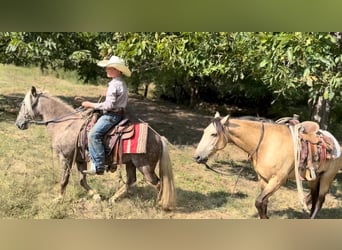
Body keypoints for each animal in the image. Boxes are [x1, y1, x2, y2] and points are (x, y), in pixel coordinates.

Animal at [15, 87, 176, 210]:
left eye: (23, 104)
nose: (19, 124)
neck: (65, 125)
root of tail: (159, 138)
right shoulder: (80, 160)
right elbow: (82, 180)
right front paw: (96, 196)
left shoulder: (65, 158)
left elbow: (64, 180)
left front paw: (59, 199)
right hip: (131, 163)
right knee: (131, 180)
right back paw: (113, 199)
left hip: (145, 166)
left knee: (158, 183)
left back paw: (160, 204)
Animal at [194, 112, 340, 218]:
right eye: (204, 131)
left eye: (214, 134)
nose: (197, 157)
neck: (266, 143)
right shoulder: (263, 178)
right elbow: (263, 203)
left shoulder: (278, 180)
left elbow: (259, 202)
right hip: (314, 178)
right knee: (314, 198)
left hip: (327, 177)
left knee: (319, 202)